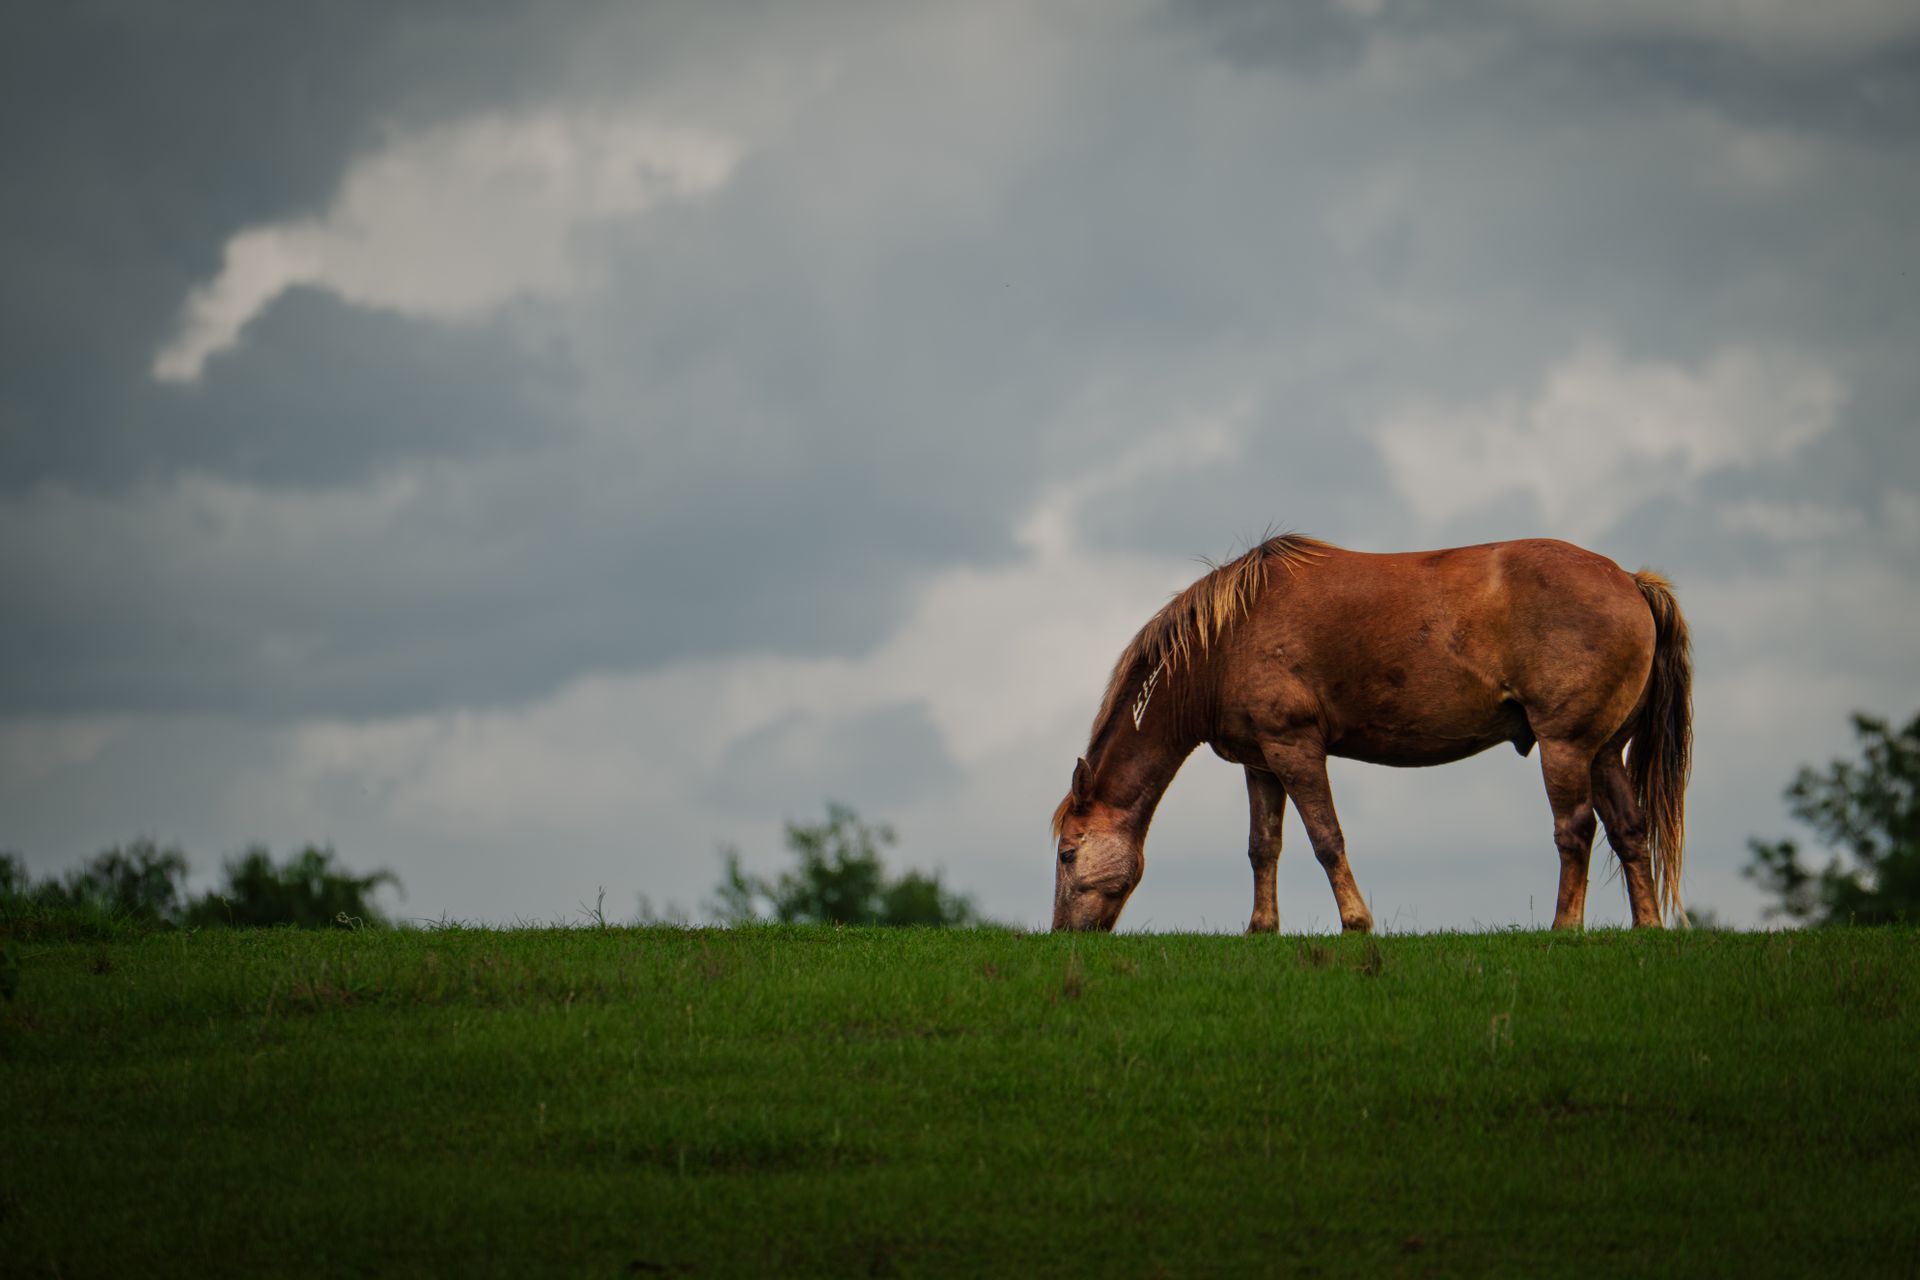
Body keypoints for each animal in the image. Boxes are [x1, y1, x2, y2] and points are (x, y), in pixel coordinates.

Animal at [1050, 535, 1691, 933]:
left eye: (1067, 852)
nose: (1063, 934)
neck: (1226, 642)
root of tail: (1631, 582)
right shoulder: (1261, 762)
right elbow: (1263, 847)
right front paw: (1261, 929)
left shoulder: (1295, 748)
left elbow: (1326, 838)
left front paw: (1356, 922)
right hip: (1604, 752)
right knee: (1629, 830)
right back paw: (1647, 927)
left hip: (1567, 747)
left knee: (1575, 830)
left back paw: (1563, 928)